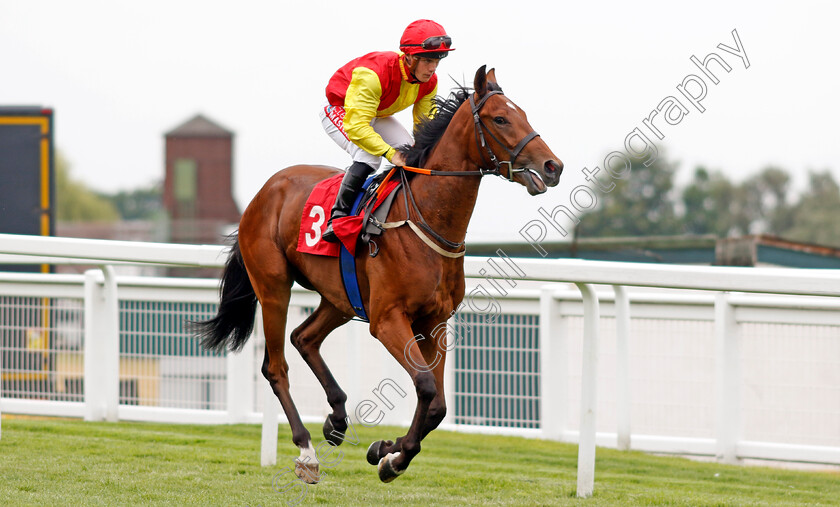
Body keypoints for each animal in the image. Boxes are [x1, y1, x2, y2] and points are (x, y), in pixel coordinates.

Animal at [196, 67, 560, 484]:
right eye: (501, 119)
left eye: (524, 114)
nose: (553, 166)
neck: (425, 220)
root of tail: (263, 193)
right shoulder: (387, 320)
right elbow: (425, 386)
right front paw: (393, 456)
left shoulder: (434, 321)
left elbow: (438, 404)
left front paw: (388, 452)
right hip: (274, 287)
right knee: (276, 367)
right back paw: (307, 452)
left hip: (341, 298)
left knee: (304, 338)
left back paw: (336, 420)